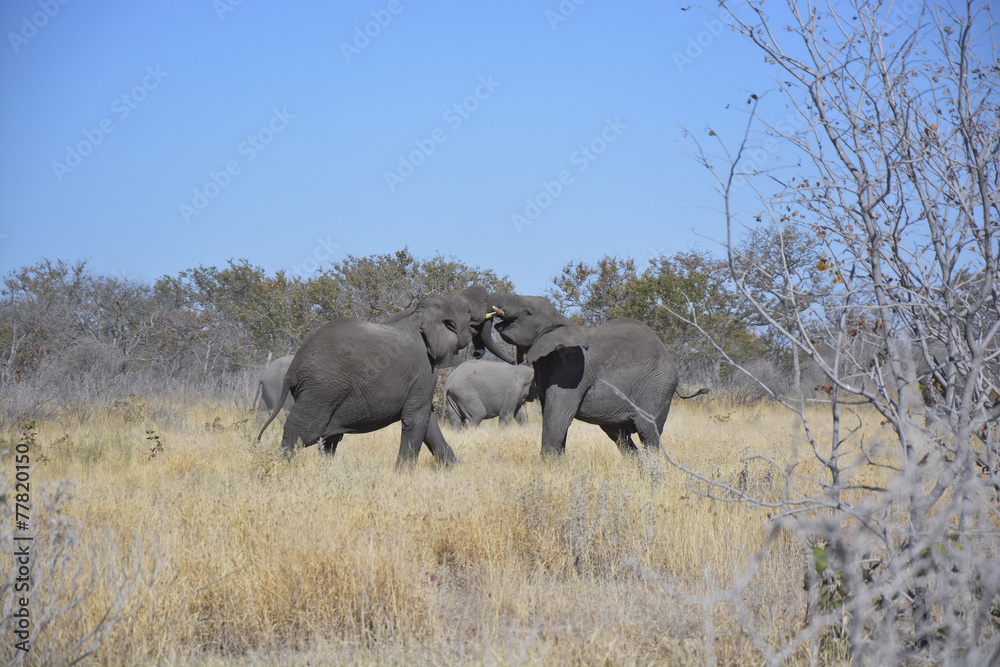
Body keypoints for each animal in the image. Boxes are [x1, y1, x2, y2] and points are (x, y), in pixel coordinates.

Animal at [257, 286, 512, 466]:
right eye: (468, 311)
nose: (477, 353)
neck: (421, 315)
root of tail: (293, 369)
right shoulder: (424, 368)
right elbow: (416, 418)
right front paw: (403, 474)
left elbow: (427, 421)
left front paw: (454, 468)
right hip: (321, 390)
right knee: (300, 433)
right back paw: (279, 470)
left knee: (329, 440)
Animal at [484, 293, 708, 456]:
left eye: (528, 312)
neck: (561, 321)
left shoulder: (572, 371)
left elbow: (557, 417)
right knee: (621, 438)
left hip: (657, 387)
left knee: (648, 436)